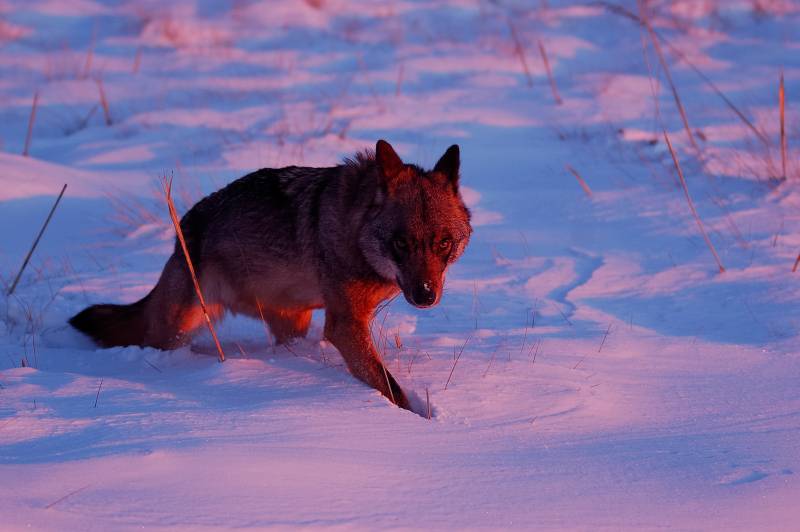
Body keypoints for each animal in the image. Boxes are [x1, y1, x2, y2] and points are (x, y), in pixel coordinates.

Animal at [70, 139, 468, 414]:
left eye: (443, 243)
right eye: (400, 243)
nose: (426, 295)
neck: (354, 229)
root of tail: (182, 230)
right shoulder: (344, 325)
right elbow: (391, 389)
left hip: (291, 321)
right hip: (180, 327)